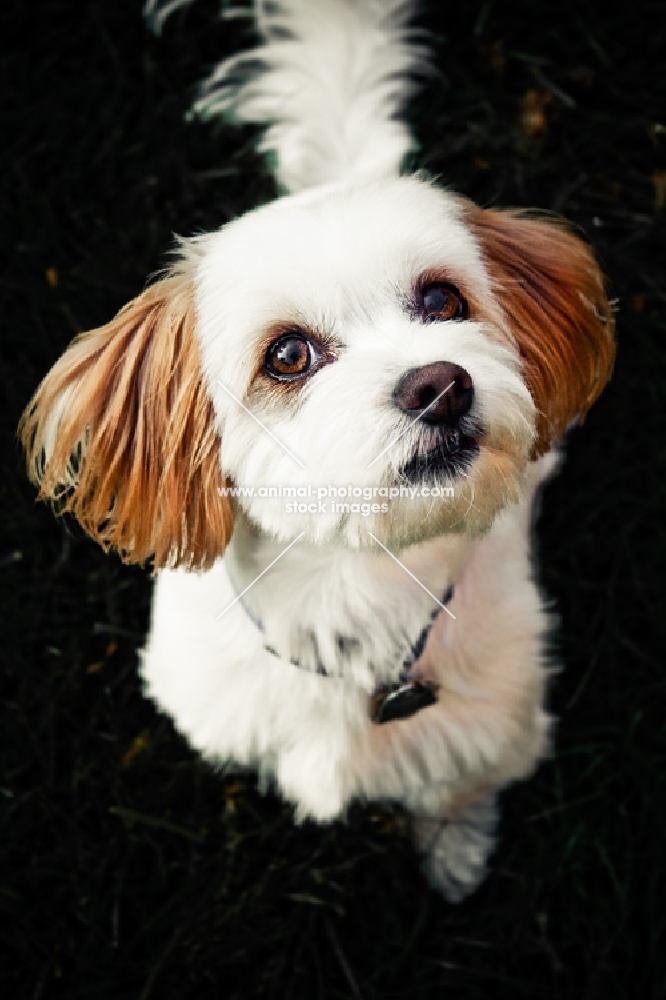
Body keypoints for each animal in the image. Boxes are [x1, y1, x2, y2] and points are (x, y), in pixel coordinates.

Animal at [19, 0, 612, 904]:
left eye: (443, 300)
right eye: (288, 355)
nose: (440, 385)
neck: (355, 589)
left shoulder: (492, 723)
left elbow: (455, 791)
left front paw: (455, 853)